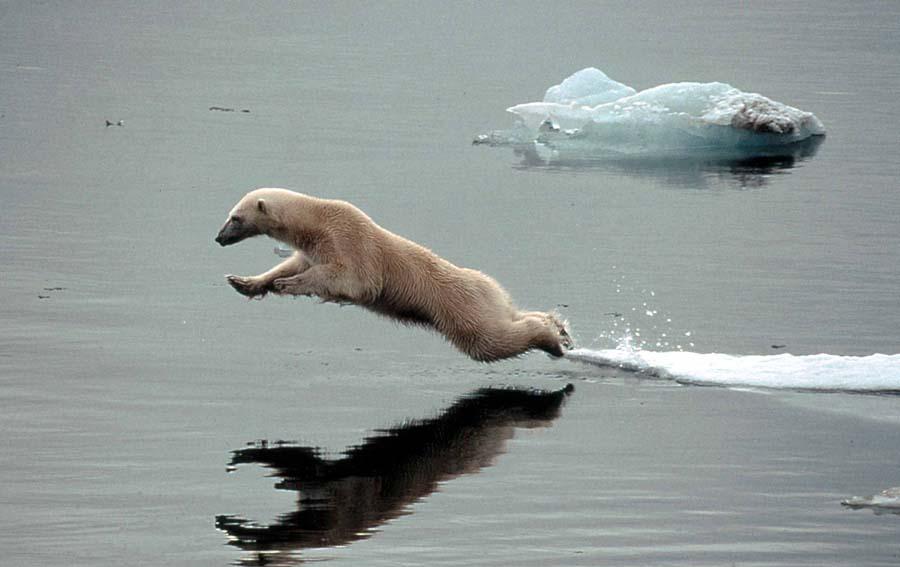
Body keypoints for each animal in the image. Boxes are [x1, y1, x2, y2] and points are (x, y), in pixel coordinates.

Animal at [215, 188, 573, 362]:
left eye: (235, 218)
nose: (218, 238)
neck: (318, 221)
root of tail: (491, 287)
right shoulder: (315, 247)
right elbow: (294, 263)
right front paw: (244, 282)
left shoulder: (350, 240)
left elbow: (352, 280)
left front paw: (287, 284)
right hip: (488, 298)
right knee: (511, 318)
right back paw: (557, 325)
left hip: (462, 306)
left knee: (489, 340)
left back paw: (553, 340)